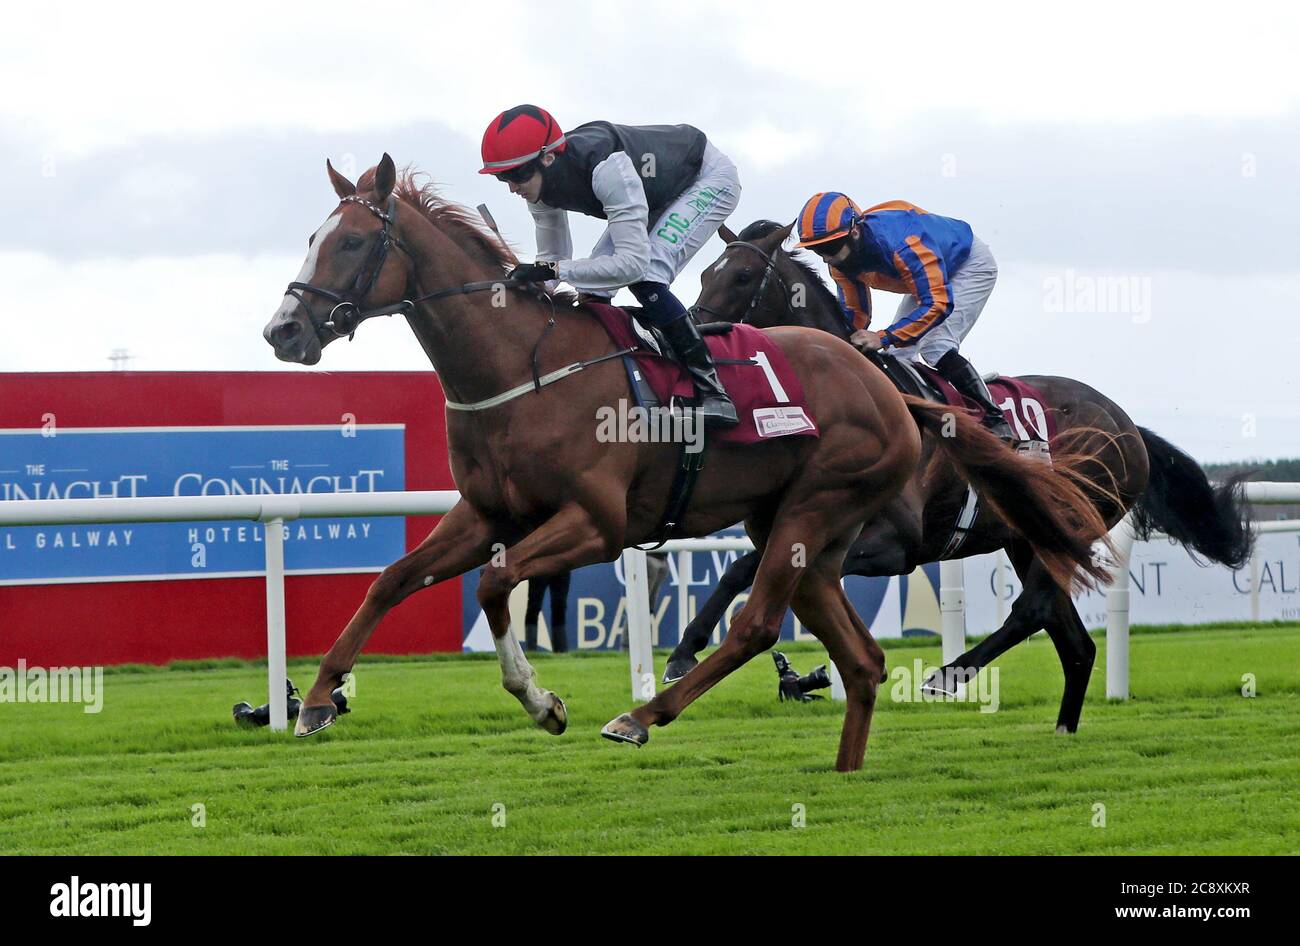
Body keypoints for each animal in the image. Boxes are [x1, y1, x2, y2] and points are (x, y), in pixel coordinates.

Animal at [266, 159, 1118, 774]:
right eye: (312, 236)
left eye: (349, 242)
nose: (284, 330)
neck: (524, 365)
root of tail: (884, 384)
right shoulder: (487, 512)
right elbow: (393, 580)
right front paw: (316, 699)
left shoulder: (596, 523)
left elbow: (496, 584)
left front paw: (542, 701)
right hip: (809, 534)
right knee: (865, 658)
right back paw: (845, 770)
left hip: (818, 506)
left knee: (758, 623)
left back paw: (642, 716)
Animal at [665, 219, 1253, 732]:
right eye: (706, 272)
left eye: (743, 275)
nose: (696, 329)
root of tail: (1128, 426)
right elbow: (740, 569)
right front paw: (684, 651)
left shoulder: (897, 545)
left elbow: (760, 569)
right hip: (1026, 535)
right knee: (1075, 643)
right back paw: (1062, 729)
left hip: (1076, 520)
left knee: (1032, 607)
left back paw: (948, 675)